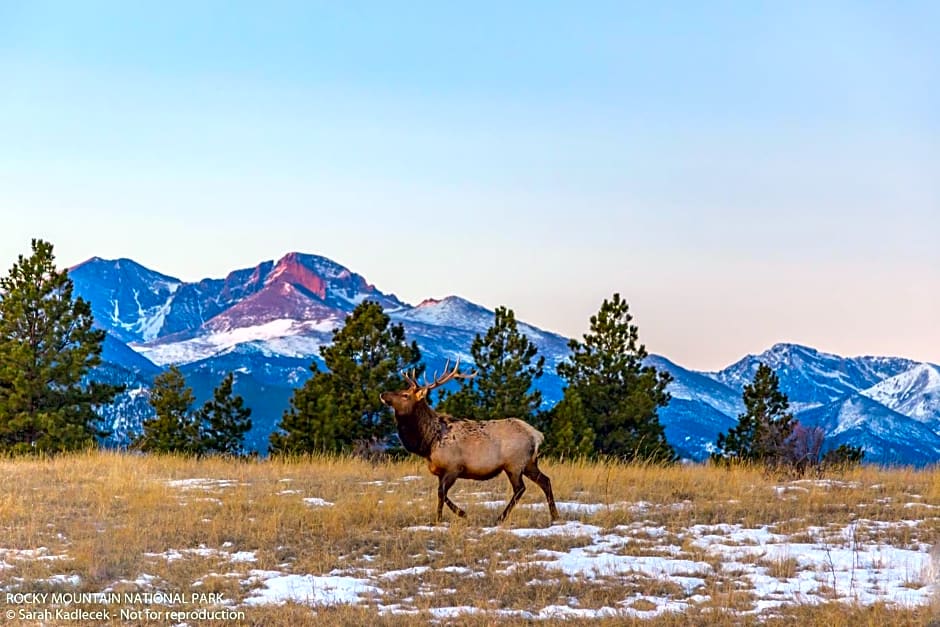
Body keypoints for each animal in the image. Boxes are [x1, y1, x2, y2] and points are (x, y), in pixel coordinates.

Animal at [378, 360, 560, 524]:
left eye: (405, 395)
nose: (383, 394)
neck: (428, 442)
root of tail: (536, 435)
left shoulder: (454, 467)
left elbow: (441, 493)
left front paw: (456, 515)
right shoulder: (441, 472)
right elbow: (441, 494)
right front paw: (447, 516)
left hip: (514, 464)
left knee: (520, 488)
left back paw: (500, 518)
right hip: (529, 463)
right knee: (545, 481)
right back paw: (554, 516)